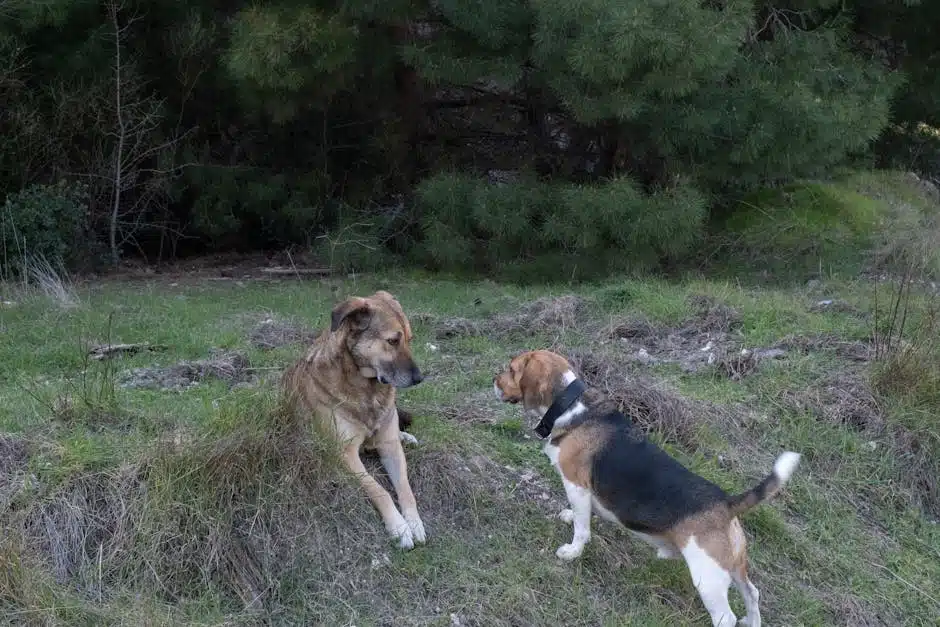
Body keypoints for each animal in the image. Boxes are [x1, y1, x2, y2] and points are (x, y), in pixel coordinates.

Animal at [280, 290, 426, 548]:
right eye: (392, 341)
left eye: (410, 339)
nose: (420, 378)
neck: (367, 389)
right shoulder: (345, 453)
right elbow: (380, 490)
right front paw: (399, 526)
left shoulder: (389, 446)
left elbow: (406, 489)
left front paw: (414, 522)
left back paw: (406, 436)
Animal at [492, 350, 800, 624]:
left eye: (511, 369)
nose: (494, 380)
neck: (571, 406)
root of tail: (726, 503)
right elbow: (581, 514)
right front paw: (570, 516)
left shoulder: (576, 484)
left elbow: (581, 528)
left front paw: (572, 552)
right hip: (734, 566)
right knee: (753, 594)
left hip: (708, 578)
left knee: (726, 617)